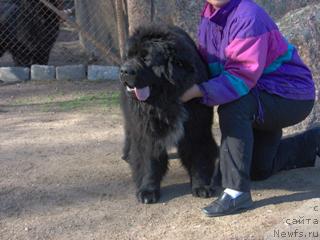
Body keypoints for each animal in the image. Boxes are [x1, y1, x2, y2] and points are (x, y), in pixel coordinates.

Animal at [120, 24, 220, 204]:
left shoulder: (197, 128)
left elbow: (199, 155)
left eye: (146, 58)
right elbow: (149, 161)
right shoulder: (147, 131)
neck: (165, 100)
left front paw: (201, 185)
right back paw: (126, 154)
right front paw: (148, 190)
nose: (123, 70)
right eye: (128, 56)